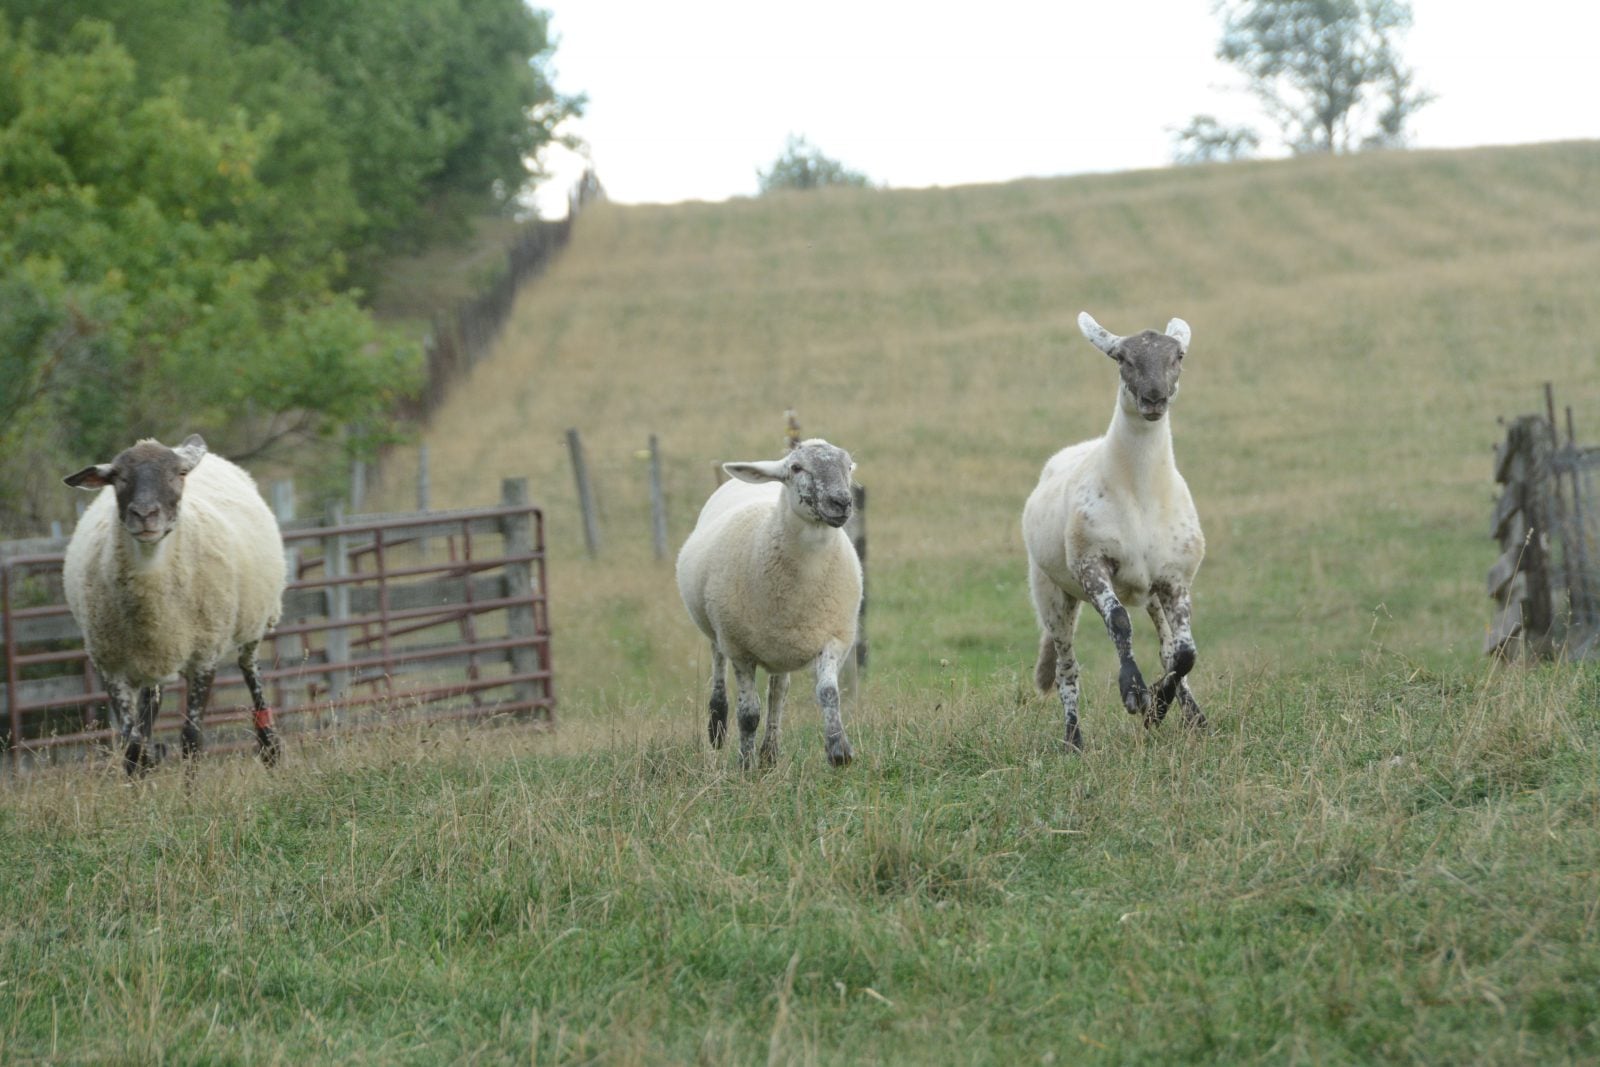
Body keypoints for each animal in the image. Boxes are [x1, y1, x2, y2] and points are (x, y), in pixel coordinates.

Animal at [62, 434, 287, 774]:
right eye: (118, 477)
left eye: (178, 474)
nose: (144, 515)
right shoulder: (110, 665)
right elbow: (132, 745)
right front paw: (144, 773)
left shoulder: (205, 657)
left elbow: (191, 739)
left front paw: (189, 788)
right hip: (154, 655)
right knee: (151, 700)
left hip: (253, 621)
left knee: (250, 671)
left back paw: (270, 747)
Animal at [676, 438, 862, 769]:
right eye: (797, 467)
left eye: (849, 466)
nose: (841, 502)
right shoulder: (740, 649)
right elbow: (749, 714)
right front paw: (745, 766)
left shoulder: (833, 638)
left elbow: (828, 693)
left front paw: (838, 750)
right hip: (718, 629)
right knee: (718, 666)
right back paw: (718, 724)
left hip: (781, 646)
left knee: (778, 693)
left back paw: (770, 752)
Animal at [1022, 312, 1206, 751]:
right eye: (1122, 358)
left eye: (1178, 355)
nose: (1154, 398)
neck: (1139, 490)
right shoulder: (1092, 562)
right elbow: (1119, 622)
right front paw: (1135, 694)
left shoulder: (1175, 577)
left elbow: (1184, 654)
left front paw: (1159, 709)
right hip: (1051, 593)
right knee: (1066, 668)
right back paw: (1074, 741)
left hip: (1151, 592)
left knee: (1169, 649)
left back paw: (1193, 717)